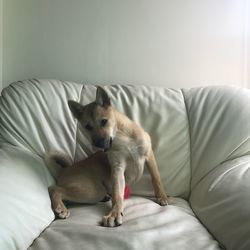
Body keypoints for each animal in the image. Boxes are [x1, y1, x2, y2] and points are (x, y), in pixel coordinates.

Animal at [65, 87, 168, 227]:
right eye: (88, 127)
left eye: (104, 121)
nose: (97, 144)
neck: (120, 137)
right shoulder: (117, 168)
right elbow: (117, 194)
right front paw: (114, 213)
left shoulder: (148, 155)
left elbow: (156, 178)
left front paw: (161, 196)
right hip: (91, 190)